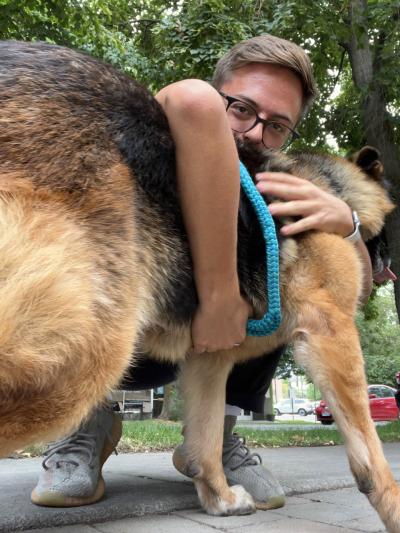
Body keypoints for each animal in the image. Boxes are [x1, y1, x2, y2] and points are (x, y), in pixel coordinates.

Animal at [0, 42, 400, 532]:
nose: (389, 263)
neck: (332, 191)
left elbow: (205, 441)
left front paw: (220, 498)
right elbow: (370, 452)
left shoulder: (209, 356)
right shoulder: (331, 330)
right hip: (79, 354)